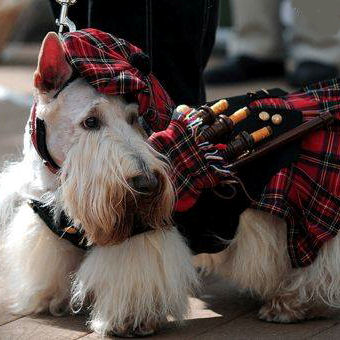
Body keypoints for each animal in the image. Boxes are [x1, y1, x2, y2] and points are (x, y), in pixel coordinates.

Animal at [0, 29, 340, 338]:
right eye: (90, 121)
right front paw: (46, 297)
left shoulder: (140, 231)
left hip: (305, 208)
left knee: (319, 261)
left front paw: (130, 322)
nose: (147, 184)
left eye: (133, 117)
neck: (59, 182)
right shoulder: (50, 225)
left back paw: (293, 303)